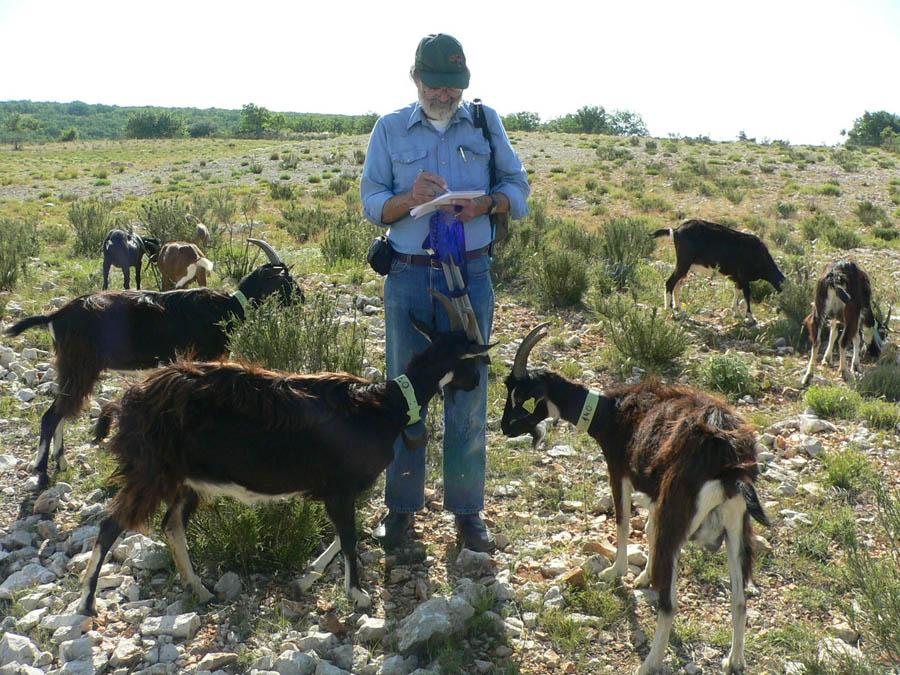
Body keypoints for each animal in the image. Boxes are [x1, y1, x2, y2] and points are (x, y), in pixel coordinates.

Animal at [4, 240, 302, 488]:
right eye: (286, 279)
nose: (302, 299)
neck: (228, 307)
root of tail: (57, 315)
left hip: (69, 368)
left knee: (60, 412)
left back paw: (62, 463)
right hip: (81, 367)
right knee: (52, 415)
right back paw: (42, 471)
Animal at [78, 294, 496, 616]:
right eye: (474, 360)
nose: (477, 384)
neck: (384, 404)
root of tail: (124, 402)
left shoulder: (336, 491)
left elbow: (343, 535)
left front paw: (305, 579)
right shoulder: (341, 487)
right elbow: (348, 536)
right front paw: (358, 594)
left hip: (185, 478)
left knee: (171, 525)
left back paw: (200, 589)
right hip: (150, 471)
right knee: (111, 524)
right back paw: (86, 602)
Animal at [500, 324, 768, 672]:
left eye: (521, 396)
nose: (503, 427)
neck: (610, 411)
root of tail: (731, 462)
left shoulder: (619, 470)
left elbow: (623, 521)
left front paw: (617, 572)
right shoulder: (656, 495)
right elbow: (649, 530)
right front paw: (643, 576)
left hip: (679, 511)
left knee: (670, 604)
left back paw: (649, 663)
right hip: (736, 525)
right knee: (739, 599)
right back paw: (734, 661)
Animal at [652, 217, 784, 322]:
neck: (761, 256)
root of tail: (676, 230)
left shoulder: (737, 278)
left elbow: (737, 292)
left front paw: (736, 313)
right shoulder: (744, 277)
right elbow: (747, 295)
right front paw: (751, 318)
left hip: (687, 266)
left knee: (677, 285)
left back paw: (680, 310)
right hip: (683, 262)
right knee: (670, 283)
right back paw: (670, 312)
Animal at [800, 258, 884, 386]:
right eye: (883, 334)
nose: (877, 353)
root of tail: (835, 277)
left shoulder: (835, 316)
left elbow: (833, 333)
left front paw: (826, 359)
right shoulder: (857, 315)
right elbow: (856, 338)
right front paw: (856, 366)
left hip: (819, 307)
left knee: (816, 339)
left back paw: (808, 376)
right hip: (850, 310)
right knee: (843, 341)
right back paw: (844, 372)